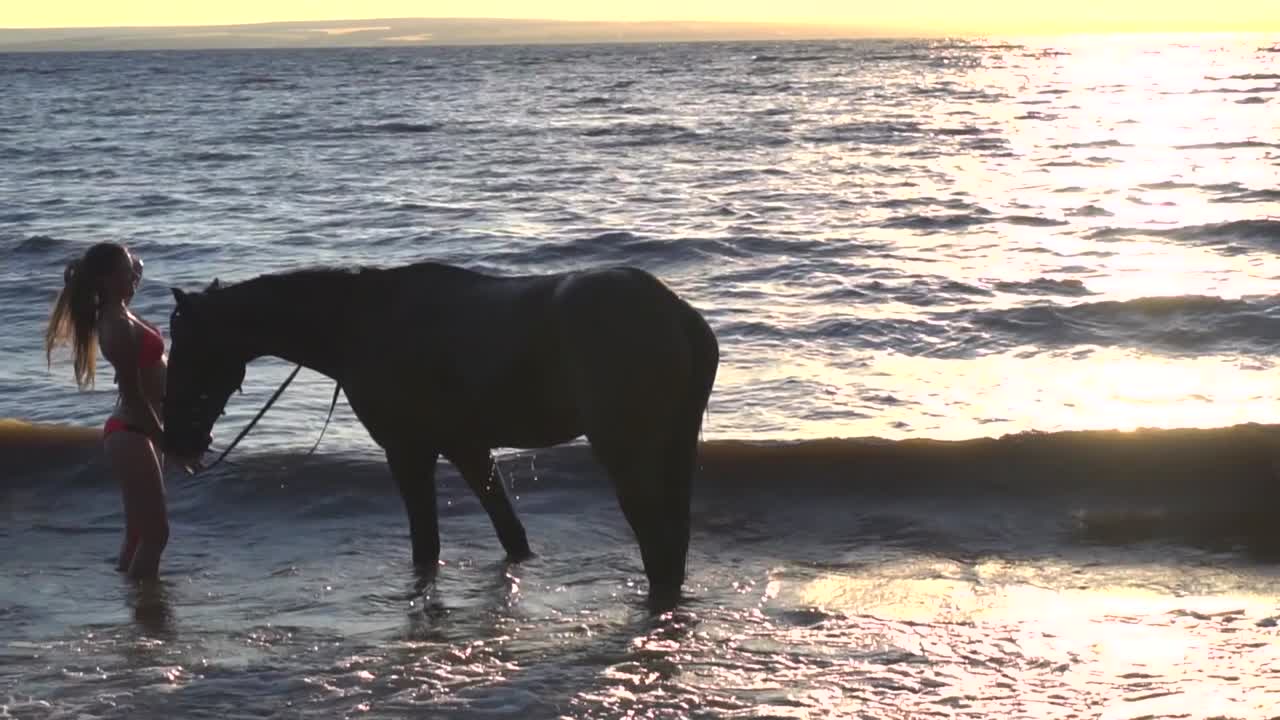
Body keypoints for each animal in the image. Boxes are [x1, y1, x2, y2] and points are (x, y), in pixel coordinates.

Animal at [162, 261, 719, 610]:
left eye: (186, 348)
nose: (176, 442)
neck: (359, 321)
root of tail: (676, 313)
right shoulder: (467, 448)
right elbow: (510, 532)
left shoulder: (408, 452)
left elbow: (426, 545)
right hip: (674, 449)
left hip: (627, 455)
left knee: (658, 546)